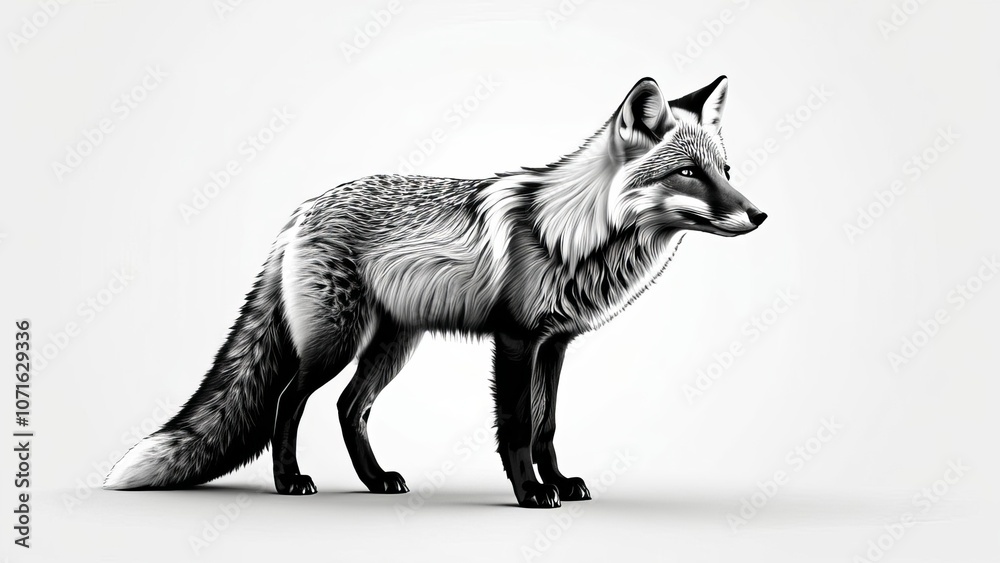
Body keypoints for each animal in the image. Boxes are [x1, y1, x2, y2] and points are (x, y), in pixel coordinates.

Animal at [104, 76, 766, 508]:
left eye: (725, 172)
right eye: (689, 173)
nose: (759, 215)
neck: (569, 231)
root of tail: (301, 210)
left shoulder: (556, 345)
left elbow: (548, 427)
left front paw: (558, 483)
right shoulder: (517, 340)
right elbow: (518, 427)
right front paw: (531, 493)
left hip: (393, 346)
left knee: (349, 408)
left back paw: (376, 481)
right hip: (334, 345)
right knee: (288, 404)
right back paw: (290, 482)